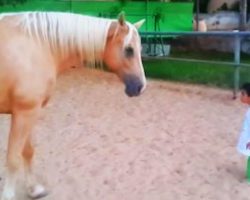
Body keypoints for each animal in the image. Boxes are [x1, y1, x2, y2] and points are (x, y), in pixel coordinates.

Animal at [0, 11, 146, 200]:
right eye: (129, 50)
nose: (141, 87)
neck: (36, 47)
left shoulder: (27, 112)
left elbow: (27, 152)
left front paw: (34, 189)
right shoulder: (25, 112)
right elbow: (13, 158)